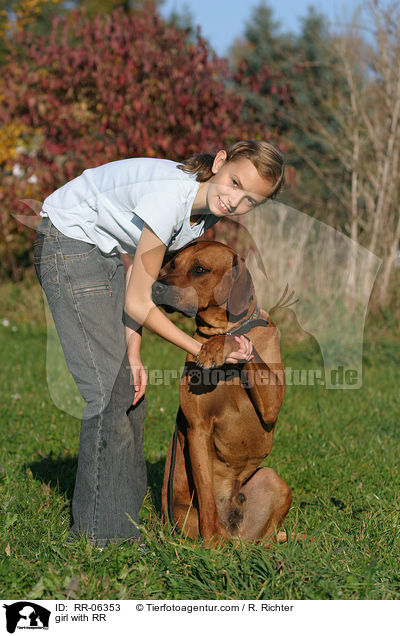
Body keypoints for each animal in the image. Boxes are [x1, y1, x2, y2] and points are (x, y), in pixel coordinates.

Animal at [152, 241, 290, 544]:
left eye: (199, 269)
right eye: (171, 264)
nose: (155, 287)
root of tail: (235, 534)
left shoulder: (273, 402)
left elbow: (238, 339)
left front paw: (218, 346)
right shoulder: (197, 429)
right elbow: (206, 499)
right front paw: (209, 545)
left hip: (275, 481)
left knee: (265, 540)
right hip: (179, 513)